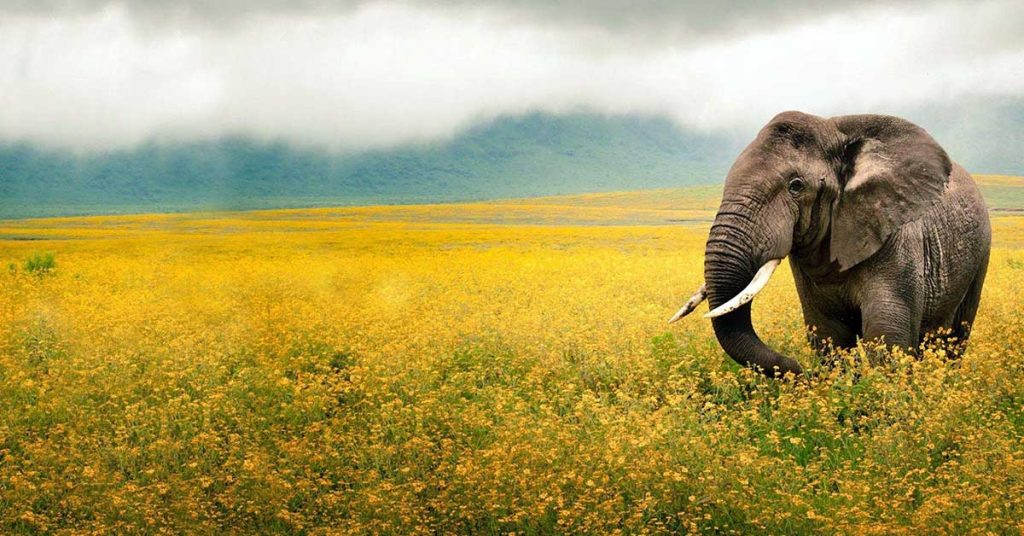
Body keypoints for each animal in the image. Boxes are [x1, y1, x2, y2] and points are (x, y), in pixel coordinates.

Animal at [669, 111, 991, 377]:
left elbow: (886, 335)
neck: (835, 131)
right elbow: (829, 334)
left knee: (955, 337)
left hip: (980, 256)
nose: (798, 369)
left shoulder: (898, 238)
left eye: (796, 186)